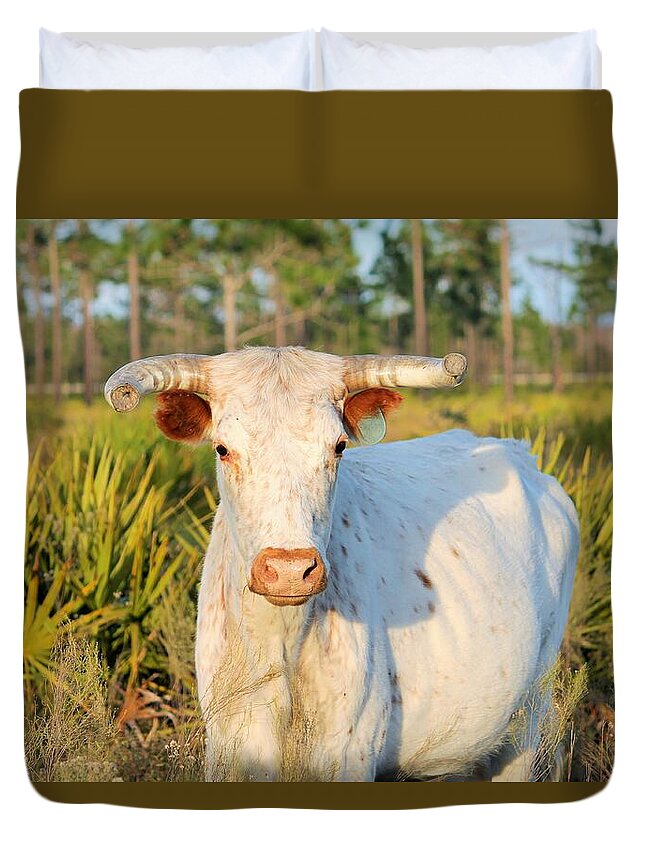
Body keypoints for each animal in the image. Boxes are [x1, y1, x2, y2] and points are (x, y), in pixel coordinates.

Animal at [105, 346, 579, 782]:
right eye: (222, 449)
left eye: (338, 446)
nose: (290, 570)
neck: (283, 646)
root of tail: (522, 455)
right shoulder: (228, 748)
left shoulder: (348, 754)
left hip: (529, 722)